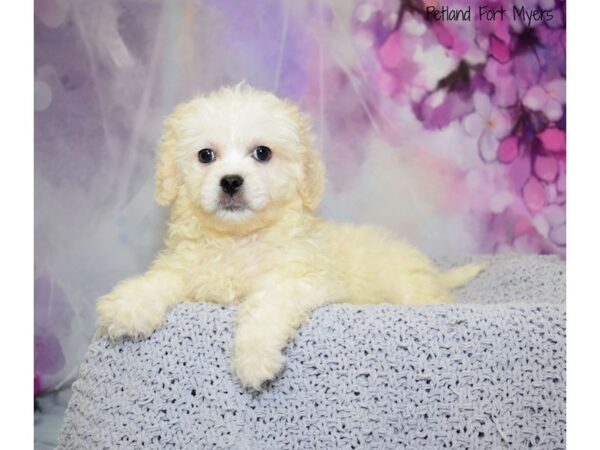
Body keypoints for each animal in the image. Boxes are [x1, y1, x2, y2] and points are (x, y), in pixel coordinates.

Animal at [97, 83, 482, 390]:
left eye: (262, 153)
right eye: (206, 155)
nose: (231, 181)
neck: (238, 240)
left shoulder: (302, 278)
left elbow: (265, 305)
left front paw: (254, 359)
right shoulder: (190, 267)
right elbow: (161, 277)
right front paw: (127, 305)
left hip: (410, 288)